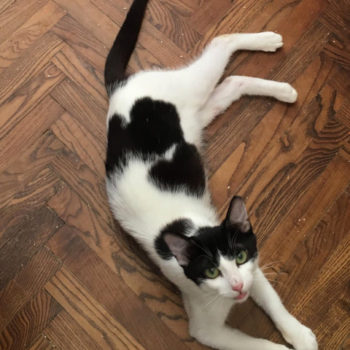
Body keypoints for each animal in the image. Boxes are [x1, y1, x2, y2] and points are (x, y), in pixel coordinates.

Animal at [103, 0, 318, 350]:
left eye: (239, 255)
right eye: (212, 272)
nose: (238, 287)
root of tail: (120, 88)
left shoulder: (253, 268)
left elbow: (275, 304)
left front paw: (298, 333)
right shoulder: (207, 328)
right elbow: (260, 345)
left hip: (194, 99)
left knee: (226, 56)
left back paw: (275, 63)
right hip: (196, 106)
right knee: (226, 65)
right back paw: (278, 74)